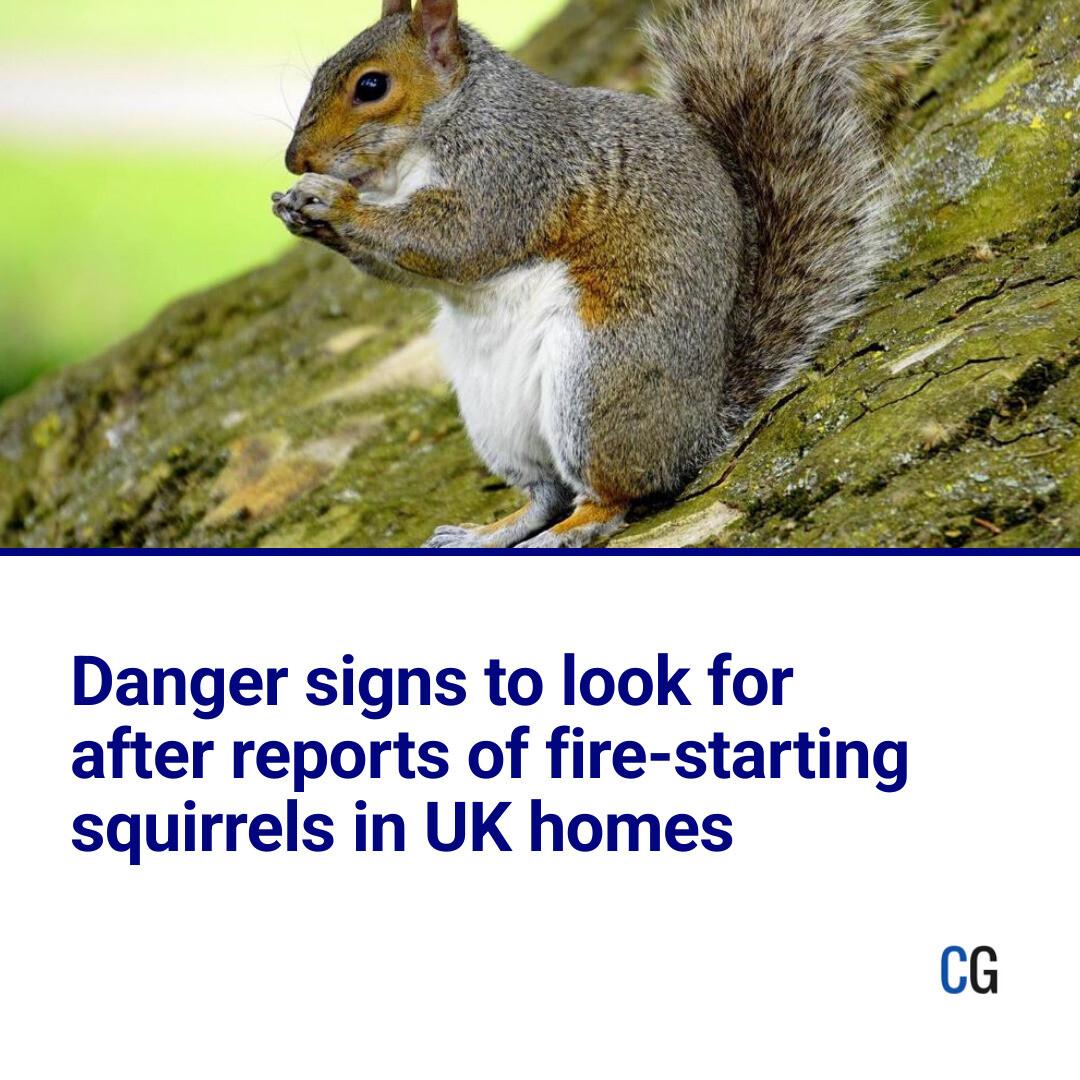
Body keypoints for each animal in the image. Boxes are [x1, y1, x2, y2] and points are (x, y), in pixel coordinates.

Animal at [273, 0, 931, 548]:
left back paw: (567, 531)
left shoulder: (512, 174)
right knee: (546, 494)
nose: (295, 160)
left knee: (612, 498)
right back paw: (488, 533)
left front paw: (334, 203)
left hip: (596, 381)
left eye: (372, 85)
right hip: (496, 418)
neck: (447, 121)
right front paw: (300, 209)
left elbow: (457, 241)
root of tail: (698, 430)